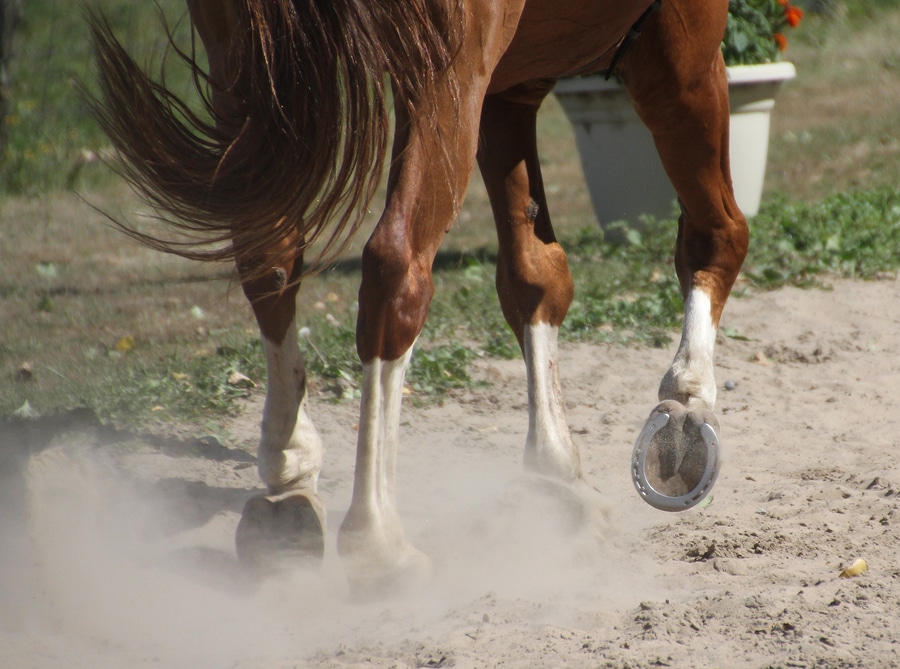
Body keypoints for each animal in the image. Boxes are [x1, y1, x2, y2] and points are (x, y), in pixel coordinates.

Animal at [89, 0, 748, 590]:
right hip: (441, 75)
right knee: (395, 268)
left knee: (268, 249)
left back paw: (287, 479)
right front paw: (685, 409)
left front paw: (554, 474)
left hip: (246, 65)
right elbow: (717, 234)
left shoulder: (509, 89)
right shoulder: (679, 50)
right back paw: (376, 540)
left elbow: (534, 275)